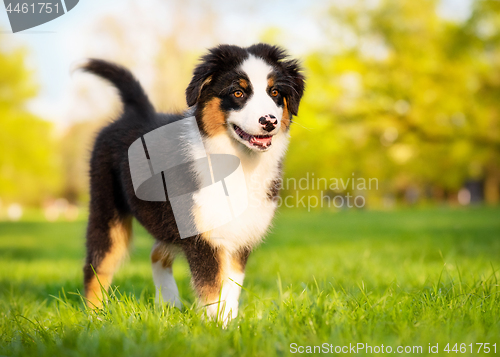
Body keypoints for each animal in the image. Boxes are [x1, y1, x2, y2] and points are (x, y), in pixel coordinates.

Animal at [82, 43, 304, 322]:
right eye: (238, 92)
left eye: (274, 92)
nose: (269, 121)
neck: (239, 162)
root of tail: (136, 112)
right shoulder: (203, 236)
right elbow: (211, 288)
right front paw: (215, 326)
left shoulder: (240, 235)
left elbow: (232, 286)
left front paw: (231, 324)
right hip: (106, 208)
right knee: (97, 264)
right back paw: (95, 317)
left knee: (156, 254)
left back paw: (169, 305)